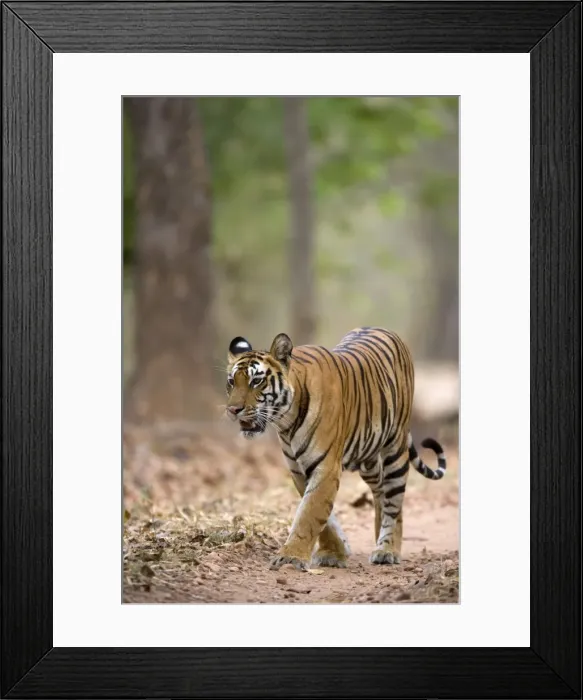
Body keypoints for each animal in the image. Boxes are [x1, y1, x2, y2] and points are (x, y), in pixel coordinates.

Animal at [225, 326, 446, 571]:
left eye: (256, 381)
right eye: (231, 382)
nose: (233, 410)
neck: (286, 422)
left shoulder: (326, 467)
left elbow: (310, 513)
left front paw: (291, 557)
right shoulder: (299, 470)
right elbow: (323, 515)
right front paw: (334, 552)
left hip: (395, 449)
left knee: (394, 501)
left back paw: (387, 549)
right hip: (368, 459)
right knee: (380, 491)